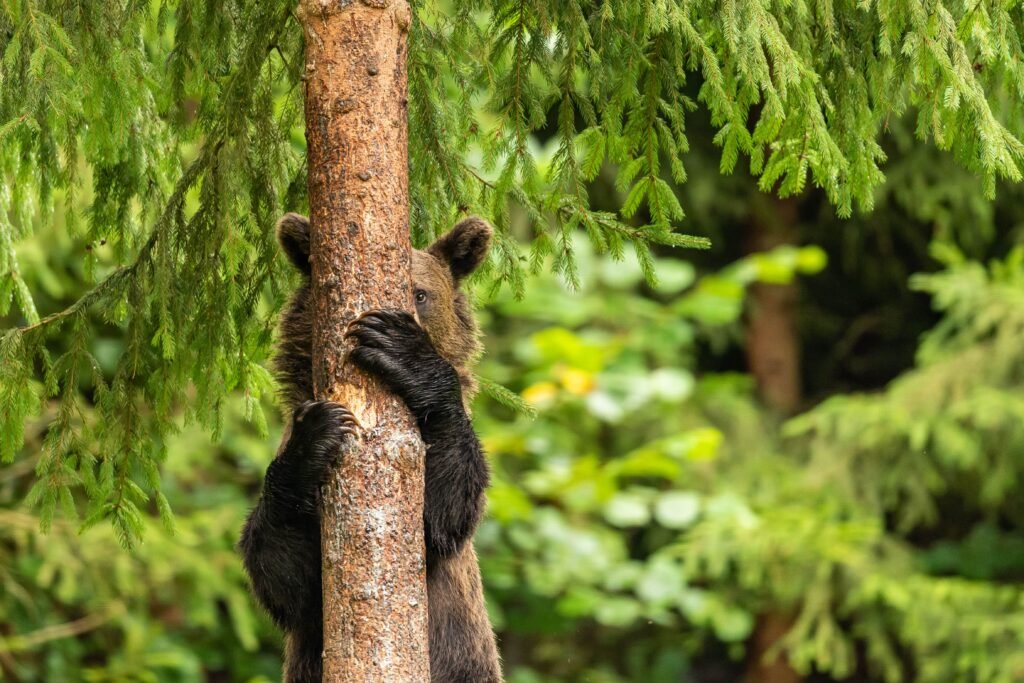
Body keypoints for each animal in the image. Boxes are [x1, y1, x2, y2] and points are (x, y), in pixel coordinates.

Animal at [239, 213, 502, 683]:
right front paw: (316, 435)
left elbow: (443, 512)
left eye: (421, 293)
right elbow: (284, 574)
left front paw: (402, 348)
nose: (402, 315)